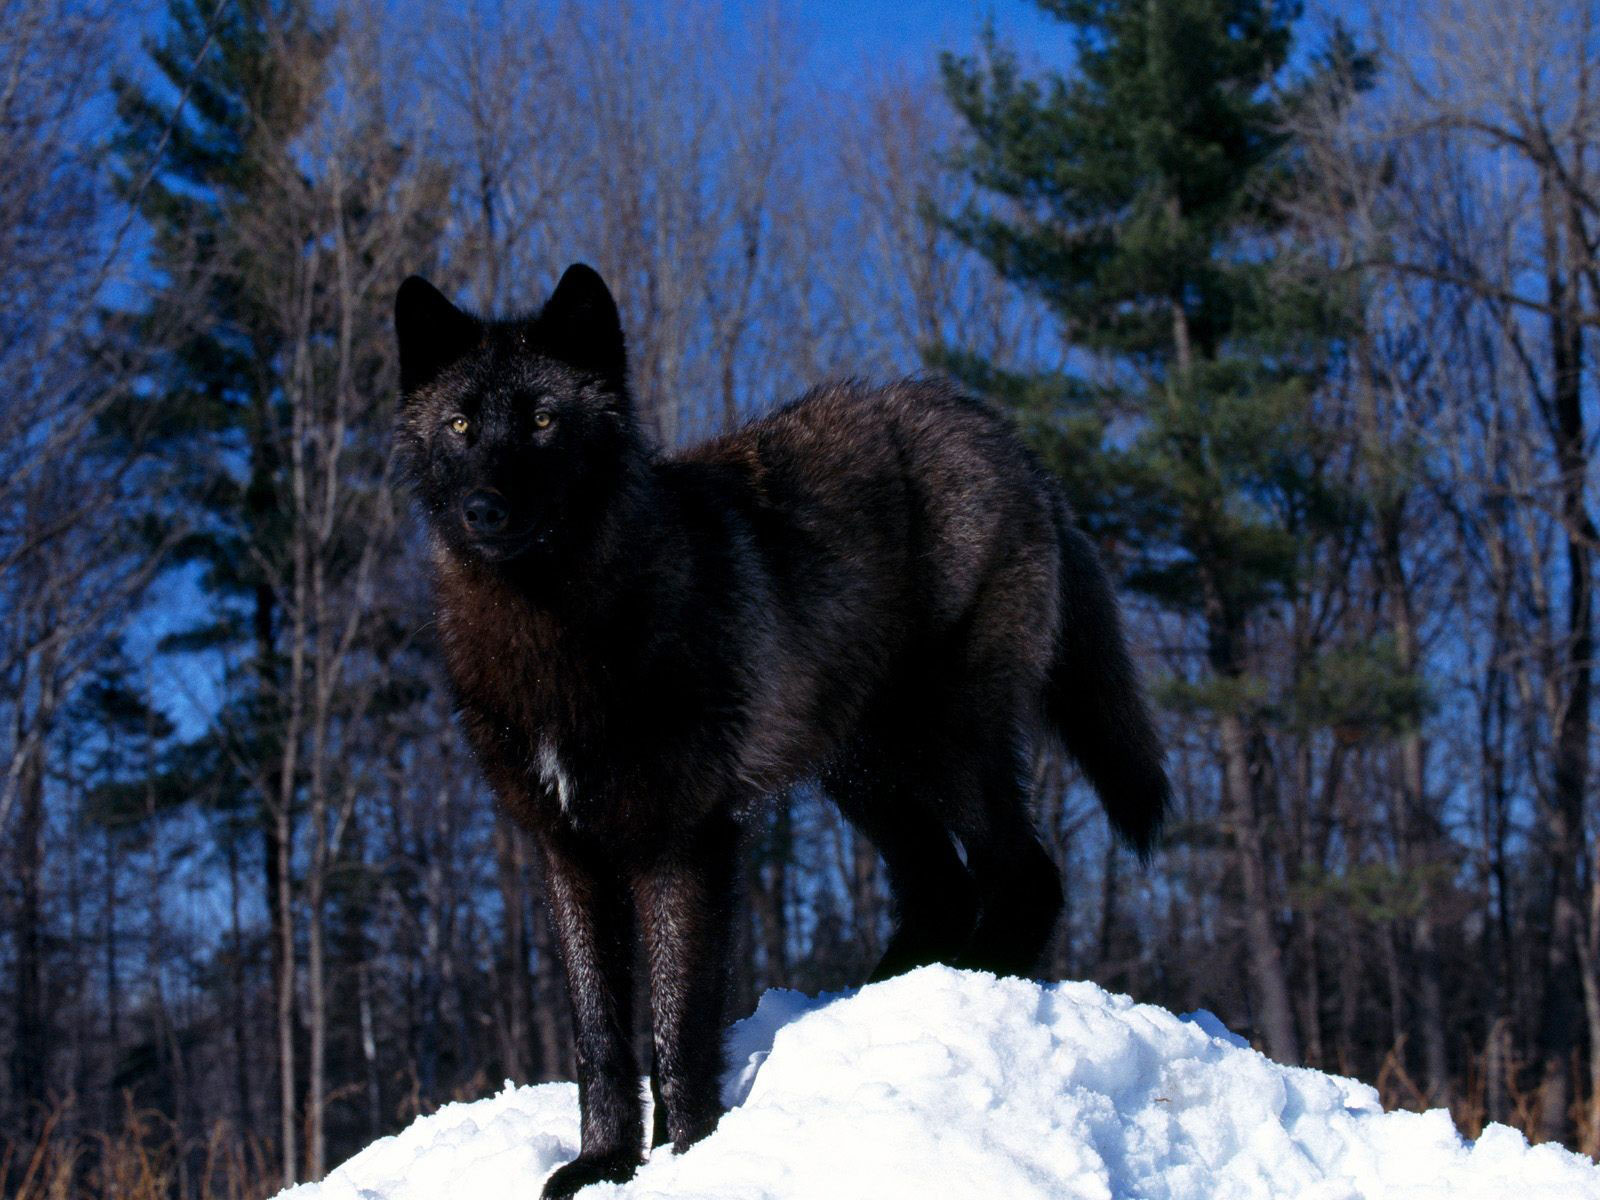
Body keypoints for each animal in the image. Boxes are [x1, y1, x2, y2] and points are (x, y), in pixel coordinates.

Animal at [387, 267, 1164, 1196]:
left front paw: (692, 1155)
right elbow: (600, 1038)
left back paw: (978, 980)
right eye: (462, 425)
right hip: (865, 771)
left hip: (949, 745)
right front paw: (605, 1163)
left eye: (543, 421)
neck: (557, 632)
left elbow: (678, 1024)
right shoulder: (568, 853)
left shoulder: (685, 843)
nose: (485, 510)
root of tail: (1005, 436)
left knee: (1026, 875)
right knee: (941, 888)